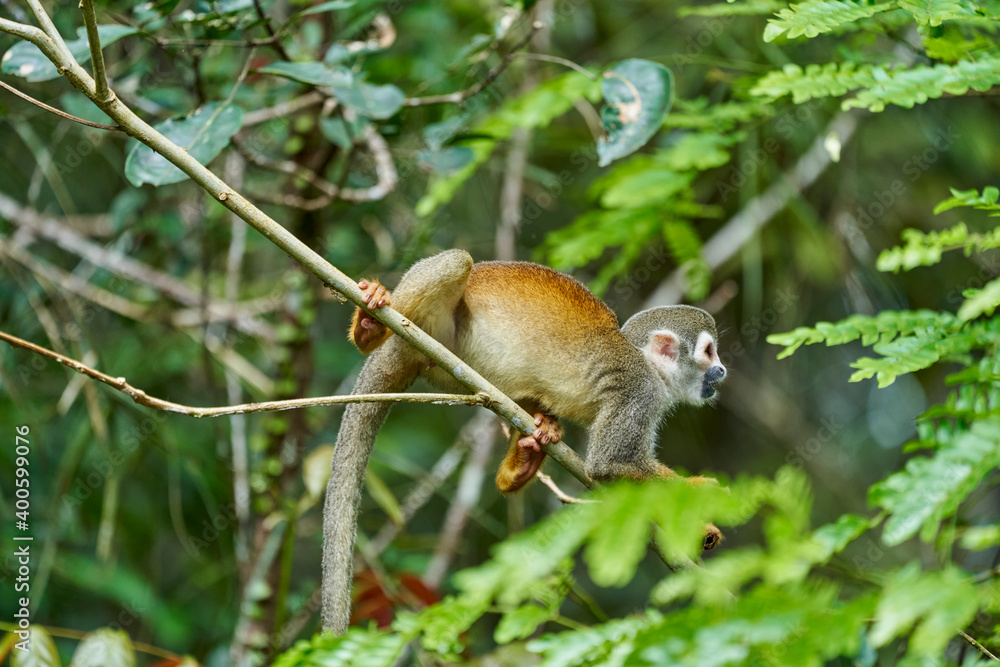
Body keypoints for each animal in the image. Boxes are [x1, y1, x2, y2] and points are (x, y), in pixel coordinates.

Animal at [322, 249, 726, 633]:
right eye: (708, 352)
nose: (722, 370)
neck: (647, 364)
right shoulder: (638, 389)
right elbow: (610, 464)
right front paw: (701, 497)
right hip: (431, 334)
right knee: (457, 260)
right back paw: (369, 327)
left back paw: (521, 461)